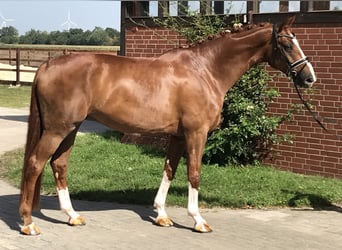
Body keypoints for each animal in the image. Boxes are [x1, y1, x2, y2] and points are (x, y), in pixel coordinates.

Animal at [20, 16, 316, 235]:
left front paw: (162, 215)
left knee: (59, 164)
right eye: (287, 45)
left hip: (71, 128)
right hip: (57, 129)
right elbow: (194, 173)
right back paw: (28, 223)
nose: (309, 77)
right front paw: (198, 220)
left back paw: (72, 215)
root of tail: (48, 64)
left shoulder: (178, 136)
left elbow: (169, 171)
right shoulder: (197, 133)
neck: (205, 70)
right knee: (35, 163)